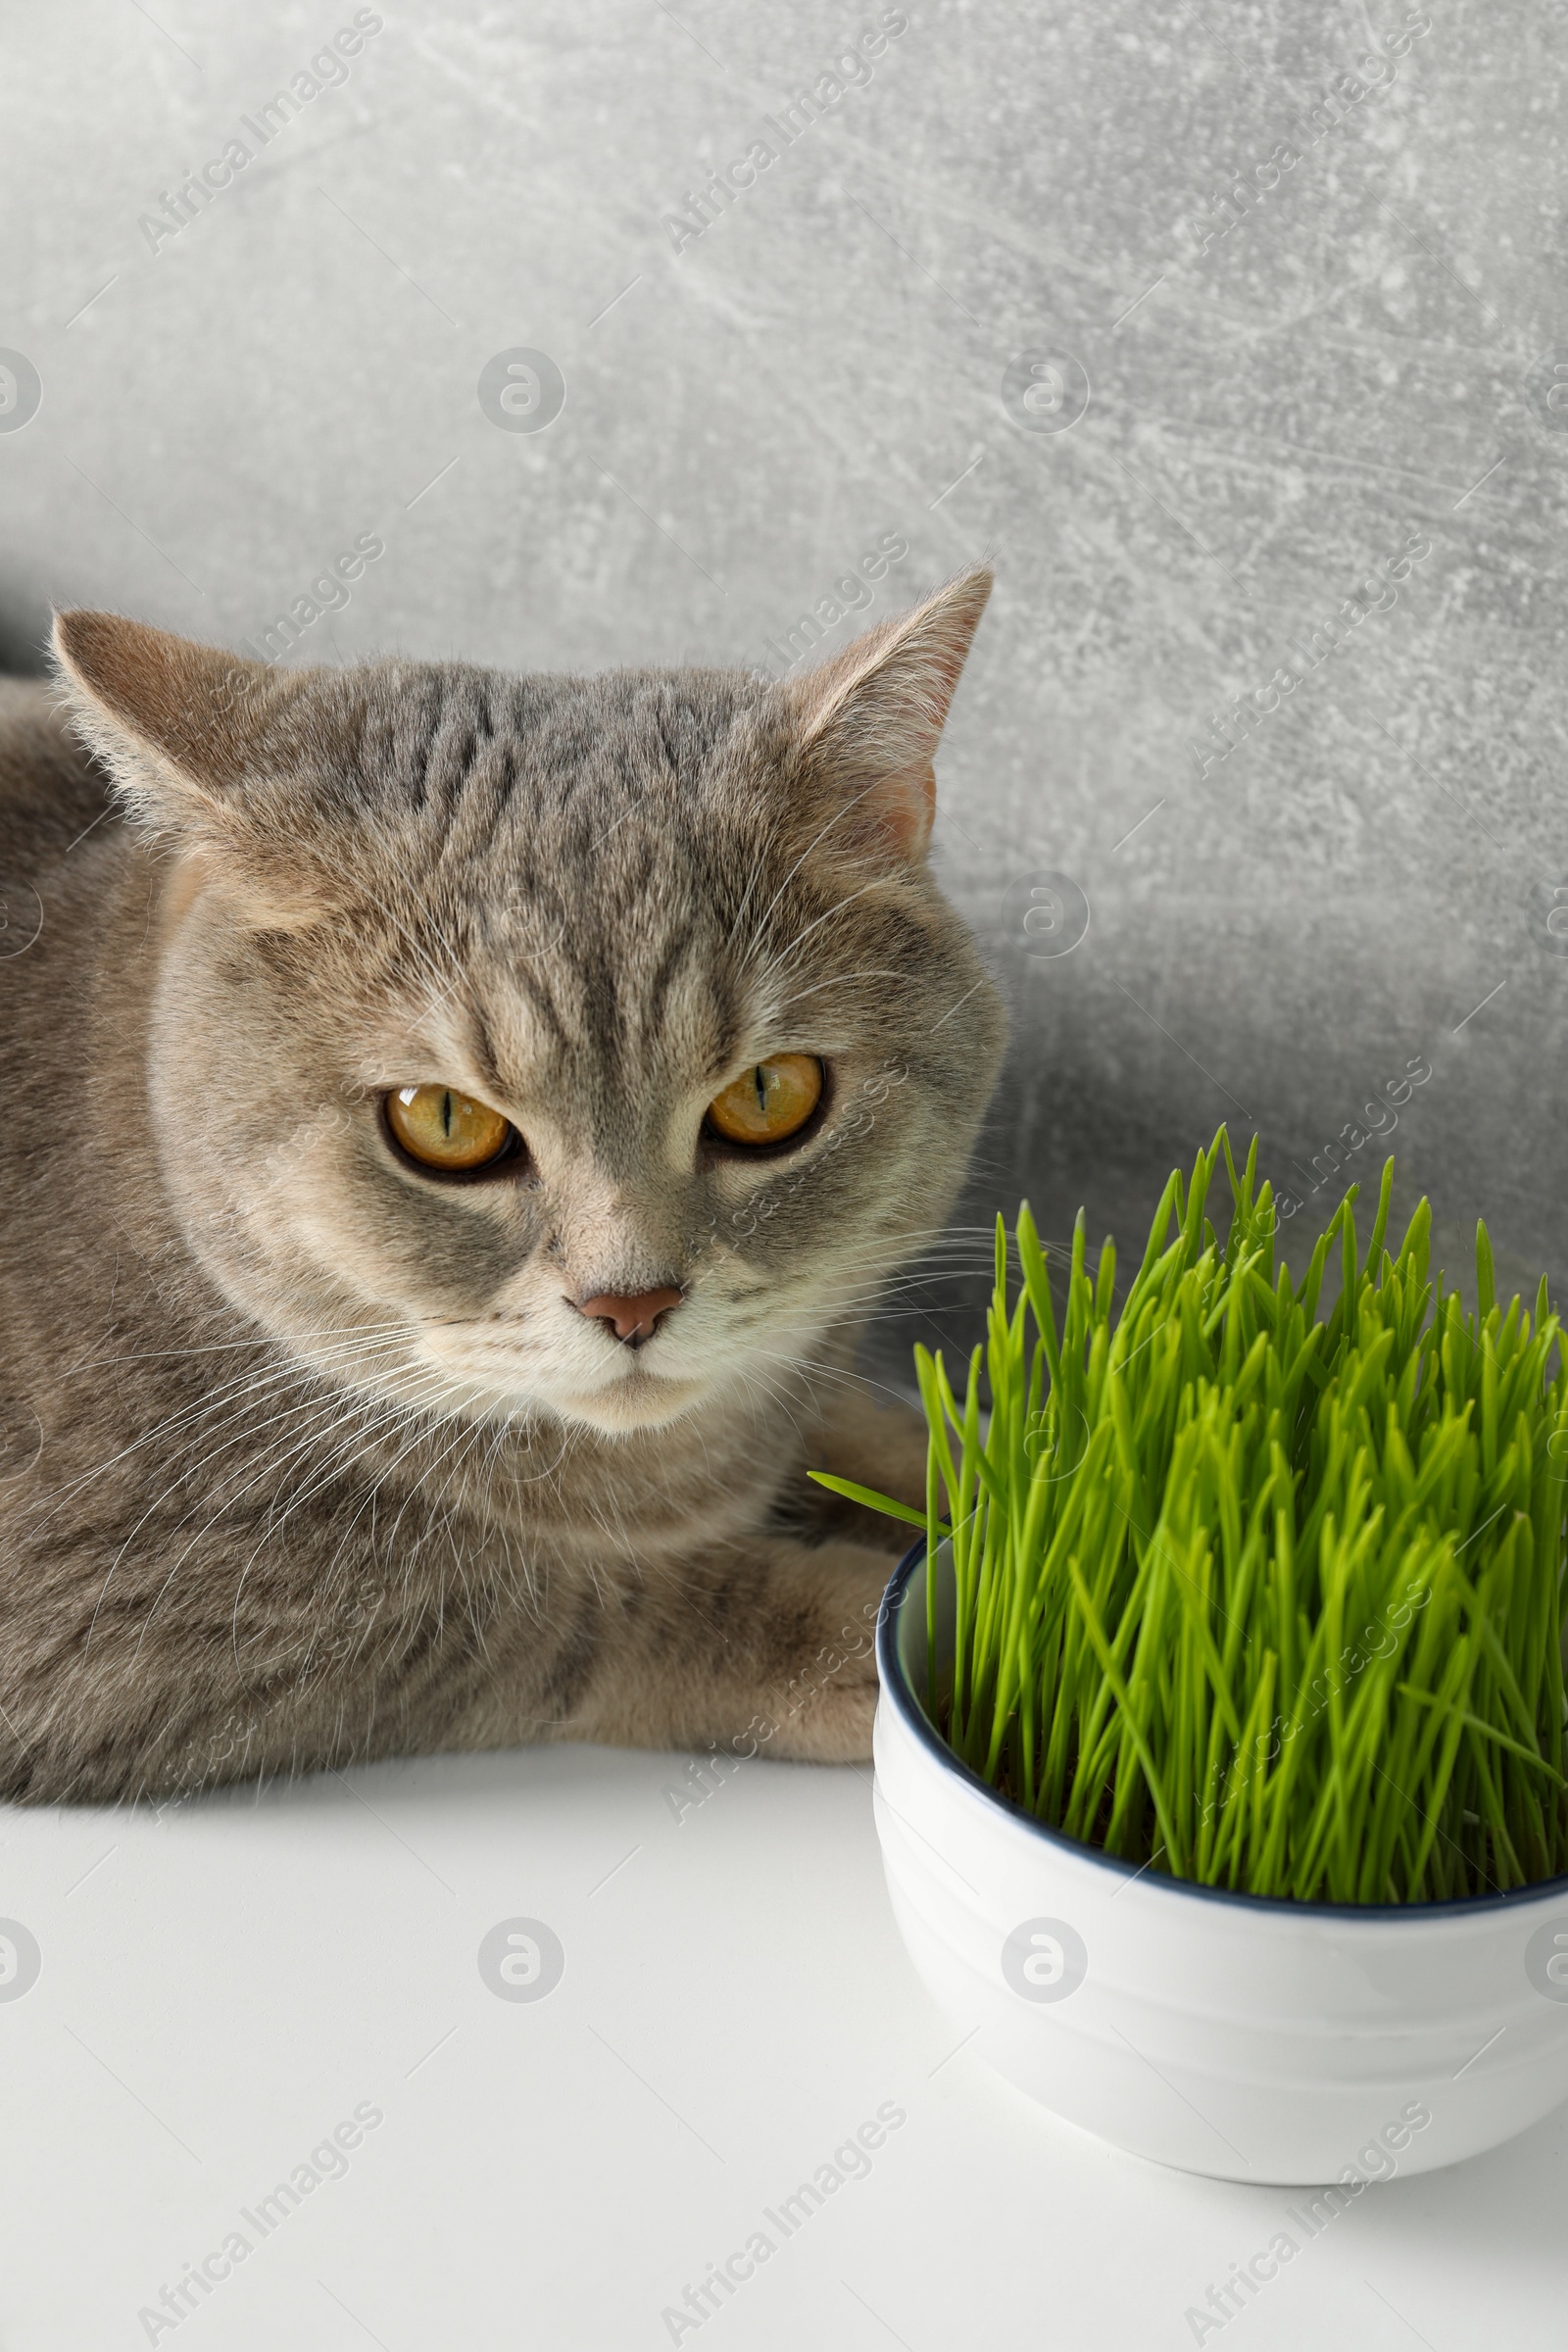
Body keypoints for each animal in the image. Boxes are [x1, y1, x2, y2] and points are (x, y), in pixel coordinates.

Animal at [0, 568, 1005, 1796]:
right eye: (445, 1122)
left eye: (767, 1096)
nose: (632, 1302)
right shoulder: (132, 1618)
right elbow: (591, 1598)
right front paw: (901, 1631)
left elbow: (879, 1422)